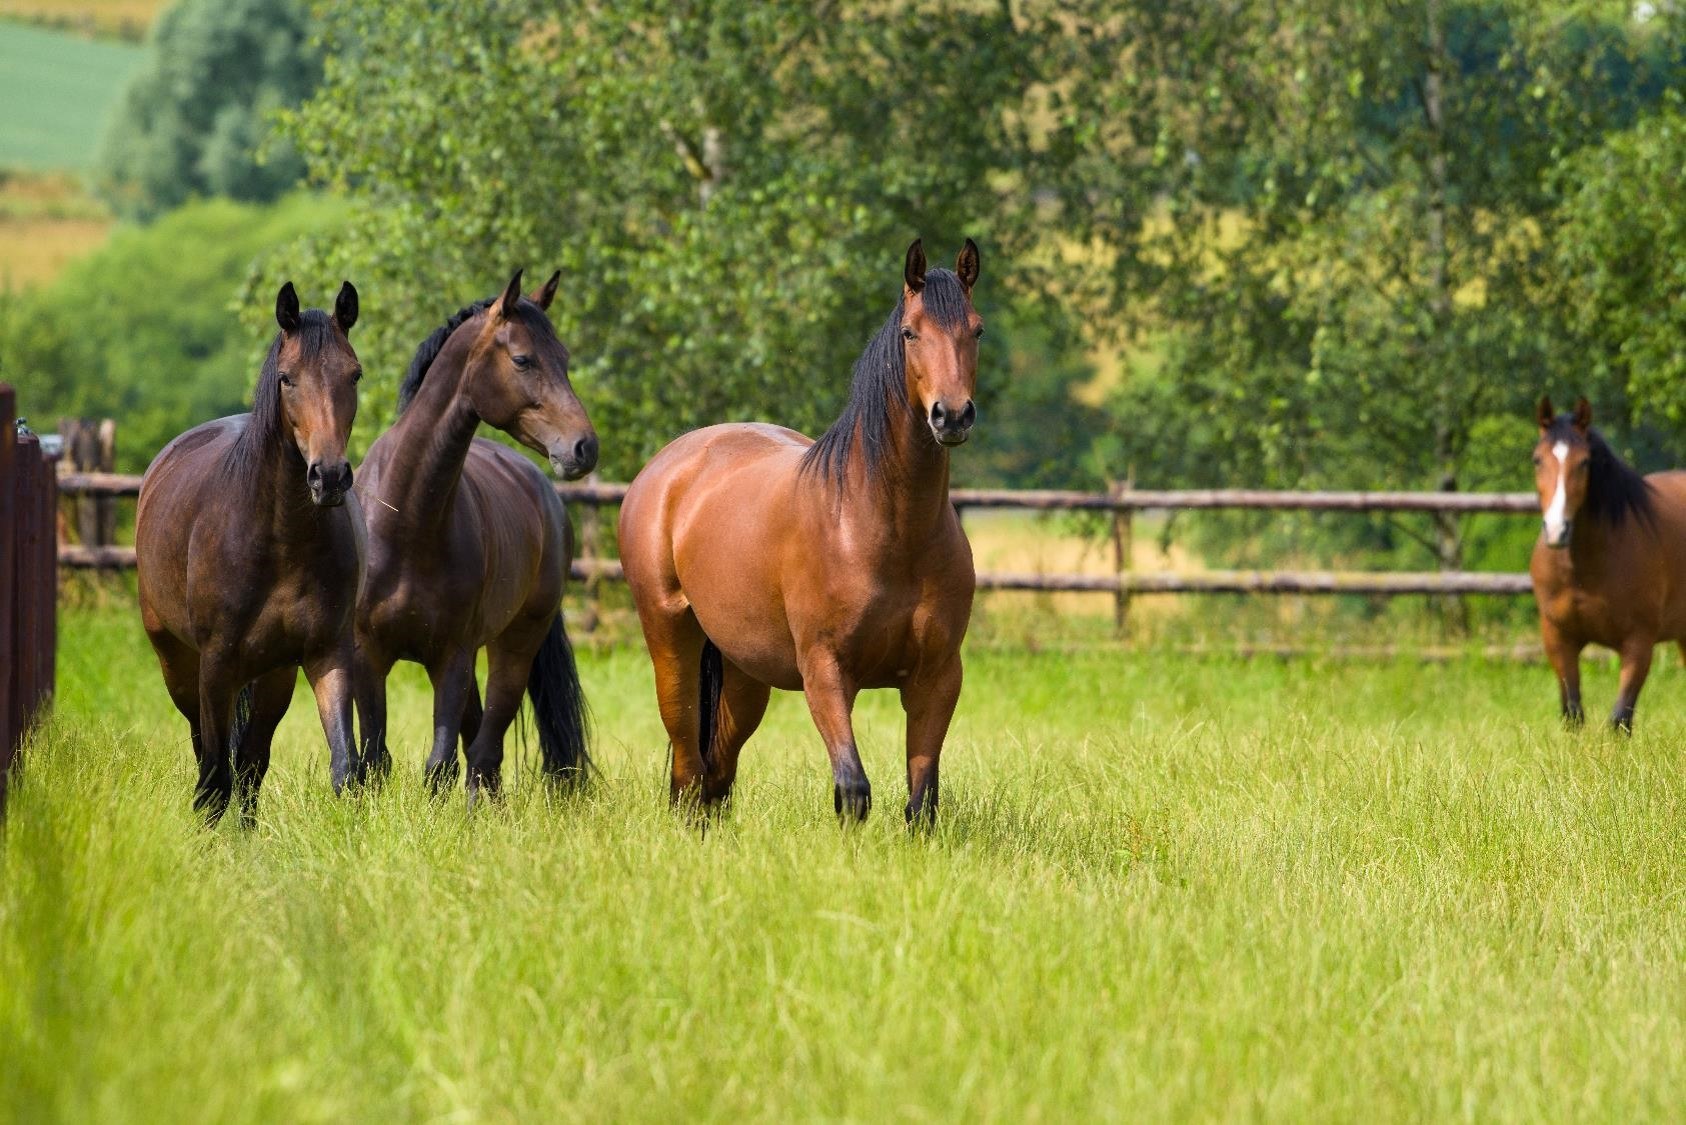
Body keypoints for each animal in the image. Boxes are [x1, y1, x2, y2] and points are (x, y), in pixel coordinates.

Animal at [137, 281, 362, 823]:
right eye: (287, 378)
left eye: (355, 374)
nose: (329, 477)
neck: (280, 539)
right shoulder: (216, 665)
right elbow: (215, 773)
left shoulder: (326, 654)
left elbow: (343, 767)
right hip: (177, 663)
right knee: (207, 752)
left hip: (273, 676)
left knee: (252, 761)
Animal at [350, 269, 600, 799]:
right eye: (524, 359)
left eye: (565, 358)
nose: (583, 448)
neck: (408, 520)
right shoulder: (368, 656)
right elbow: (375, 761)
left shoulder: (453, 657)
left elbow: (439, 766)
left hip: (513, 647)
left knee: (486, 751)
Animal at [620, 239, 984, 819]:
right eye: (910, 332)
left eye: (977, 330)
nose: (951, 416)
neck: (883, 529)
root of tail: (668, 466)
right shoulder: (826, 672)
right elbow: (853, 789)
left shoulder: (938, 677)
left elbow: (921, 801)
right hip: (670, 642)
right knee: (688, 769)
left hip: (745, 672)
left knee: (717, 772)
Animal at [1530, 399, 1686, 735]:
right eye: (1537, 460)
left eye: (1584, 462)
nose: (1557, 530)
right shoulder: (1558, 639)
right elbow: (1573, 714)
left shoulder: (1638, 643)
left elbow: (1619, 720)